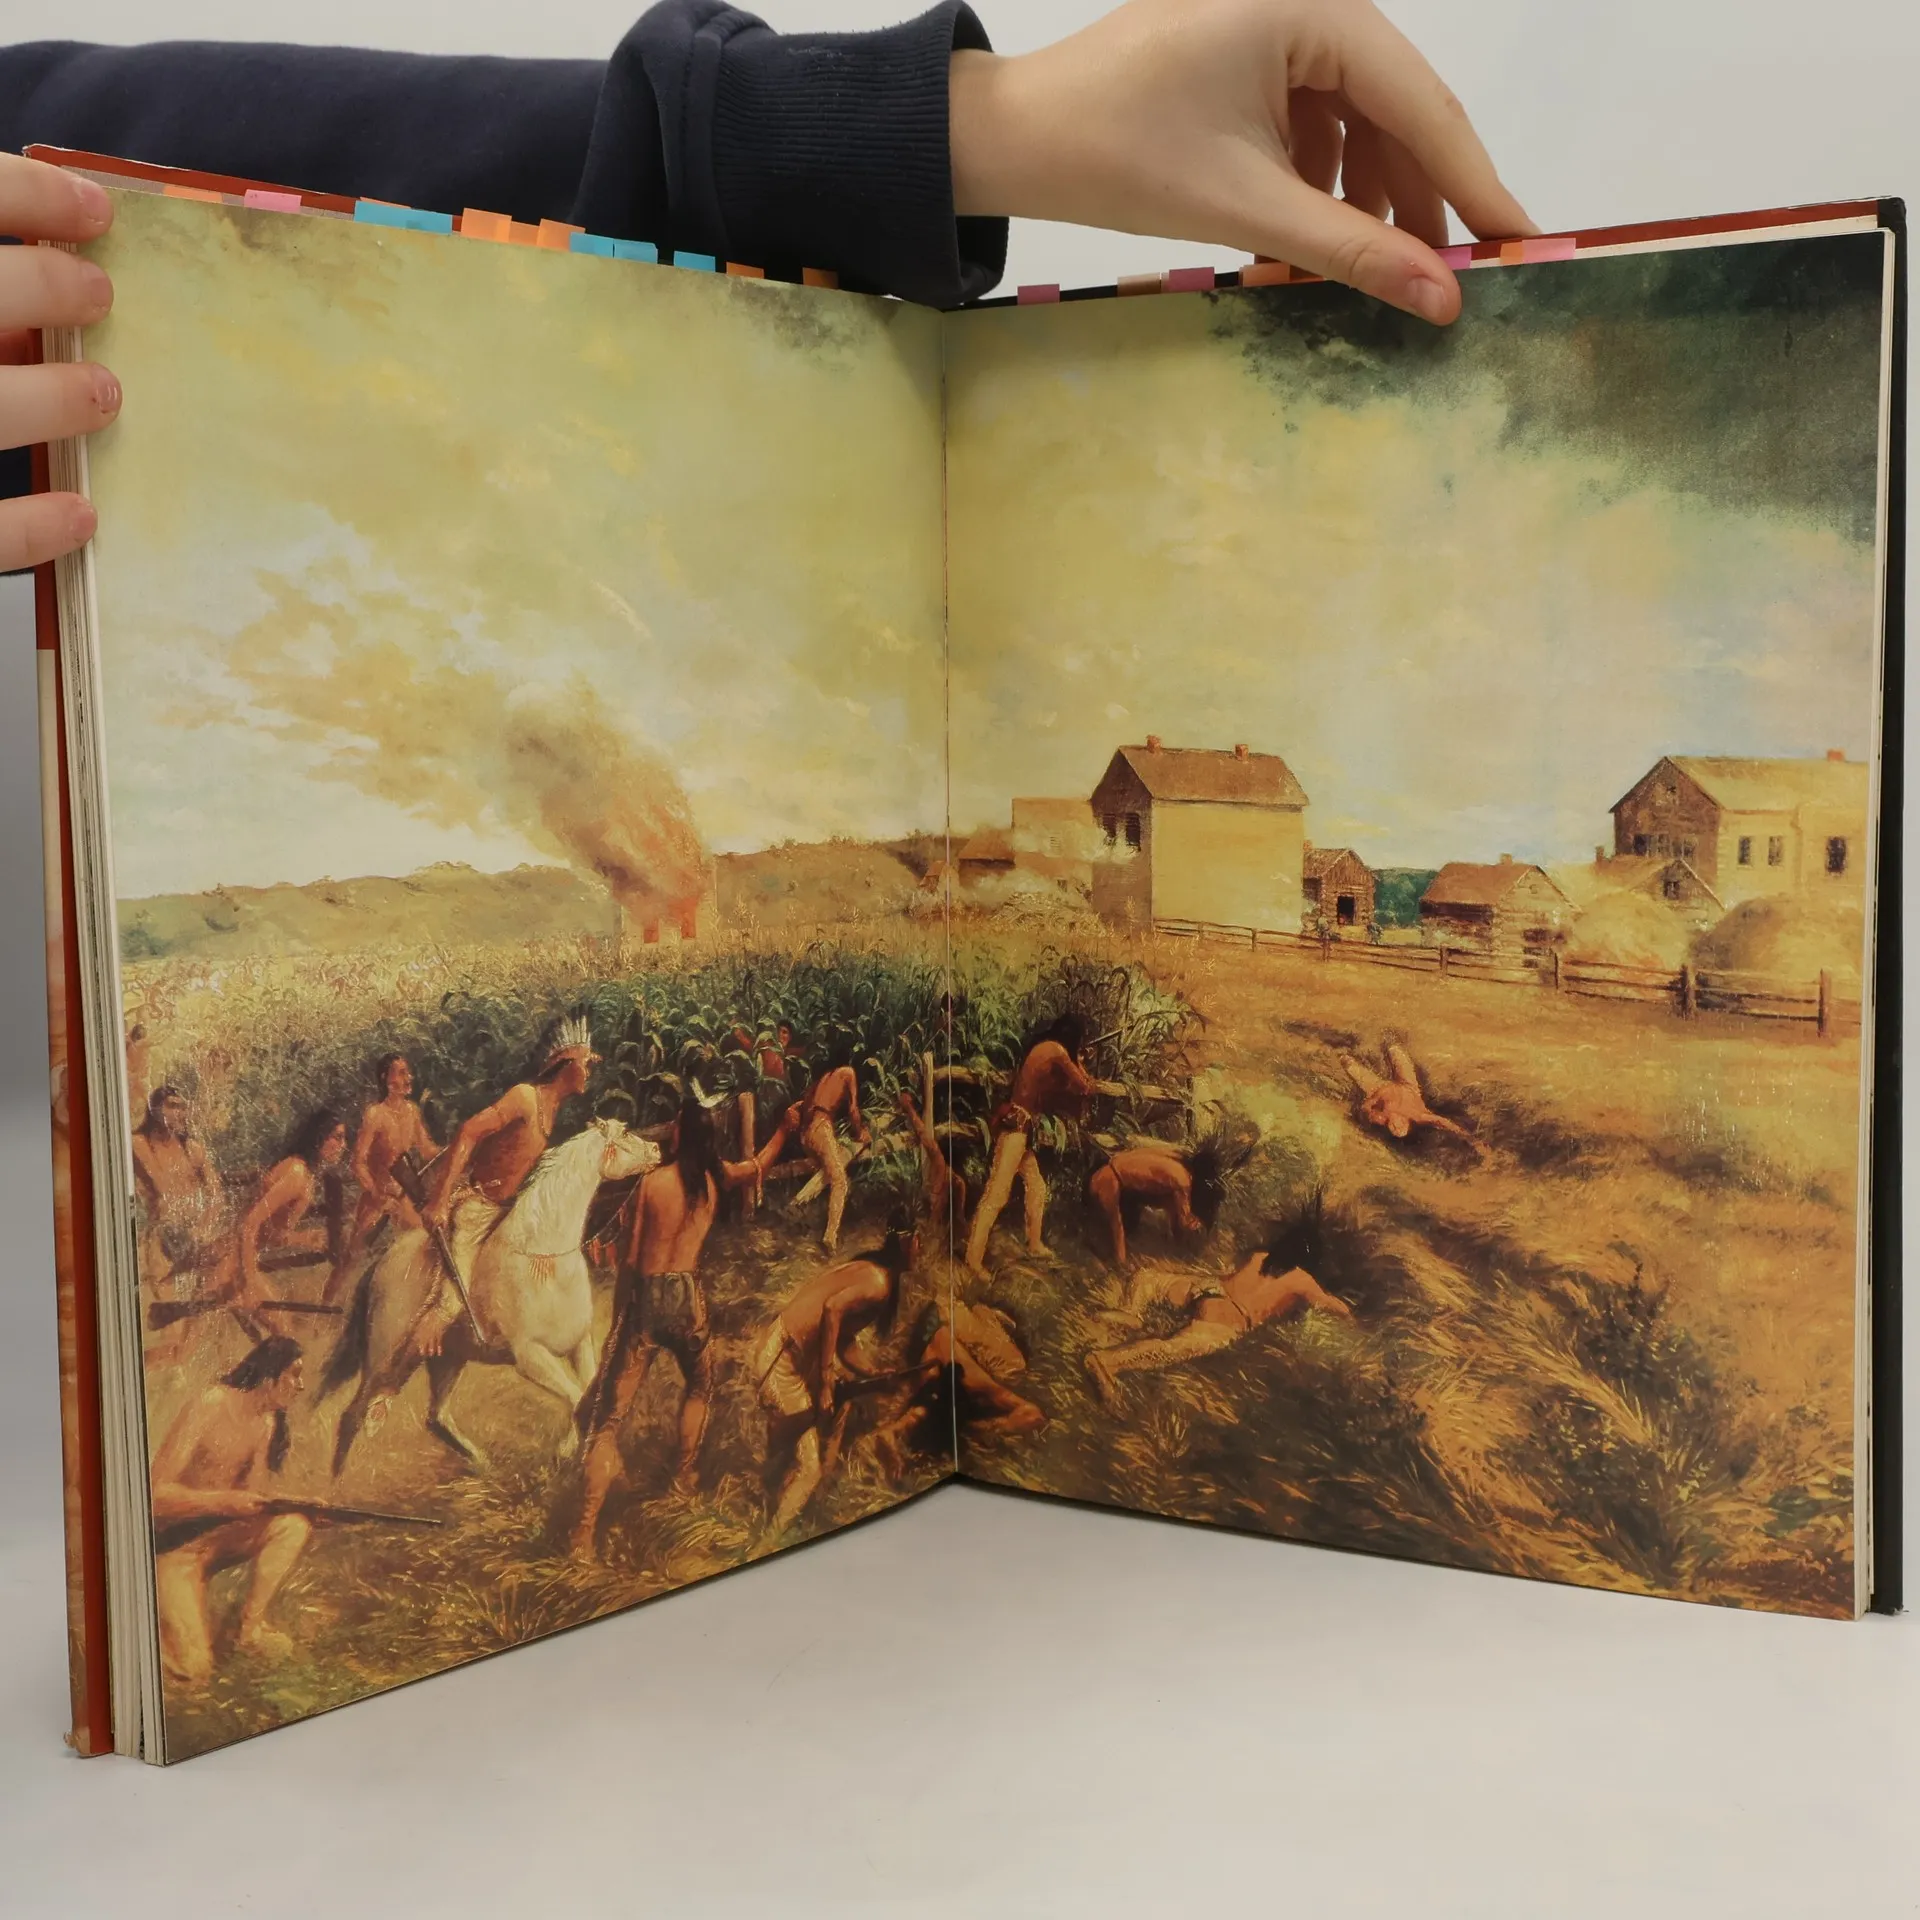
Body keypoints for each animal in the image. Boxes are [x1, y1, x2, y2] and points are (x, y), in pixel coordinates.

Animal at [319, 1118, 659, 1474]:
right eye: (625, 1134)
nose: (656, 1150)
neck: (544, 1258)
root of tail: (379, 1265)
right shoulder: (530, 1356)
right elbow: (577, 1397)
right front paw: (569, 1455)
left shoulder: (579, 1345)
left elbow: (587, 1395)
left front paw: (570, 1454)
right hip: (383, 1357)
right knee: (352, 1415)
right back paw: (338, 1478)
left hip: (445, 1360)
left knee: (435, 1416)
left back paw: (484, 1464)